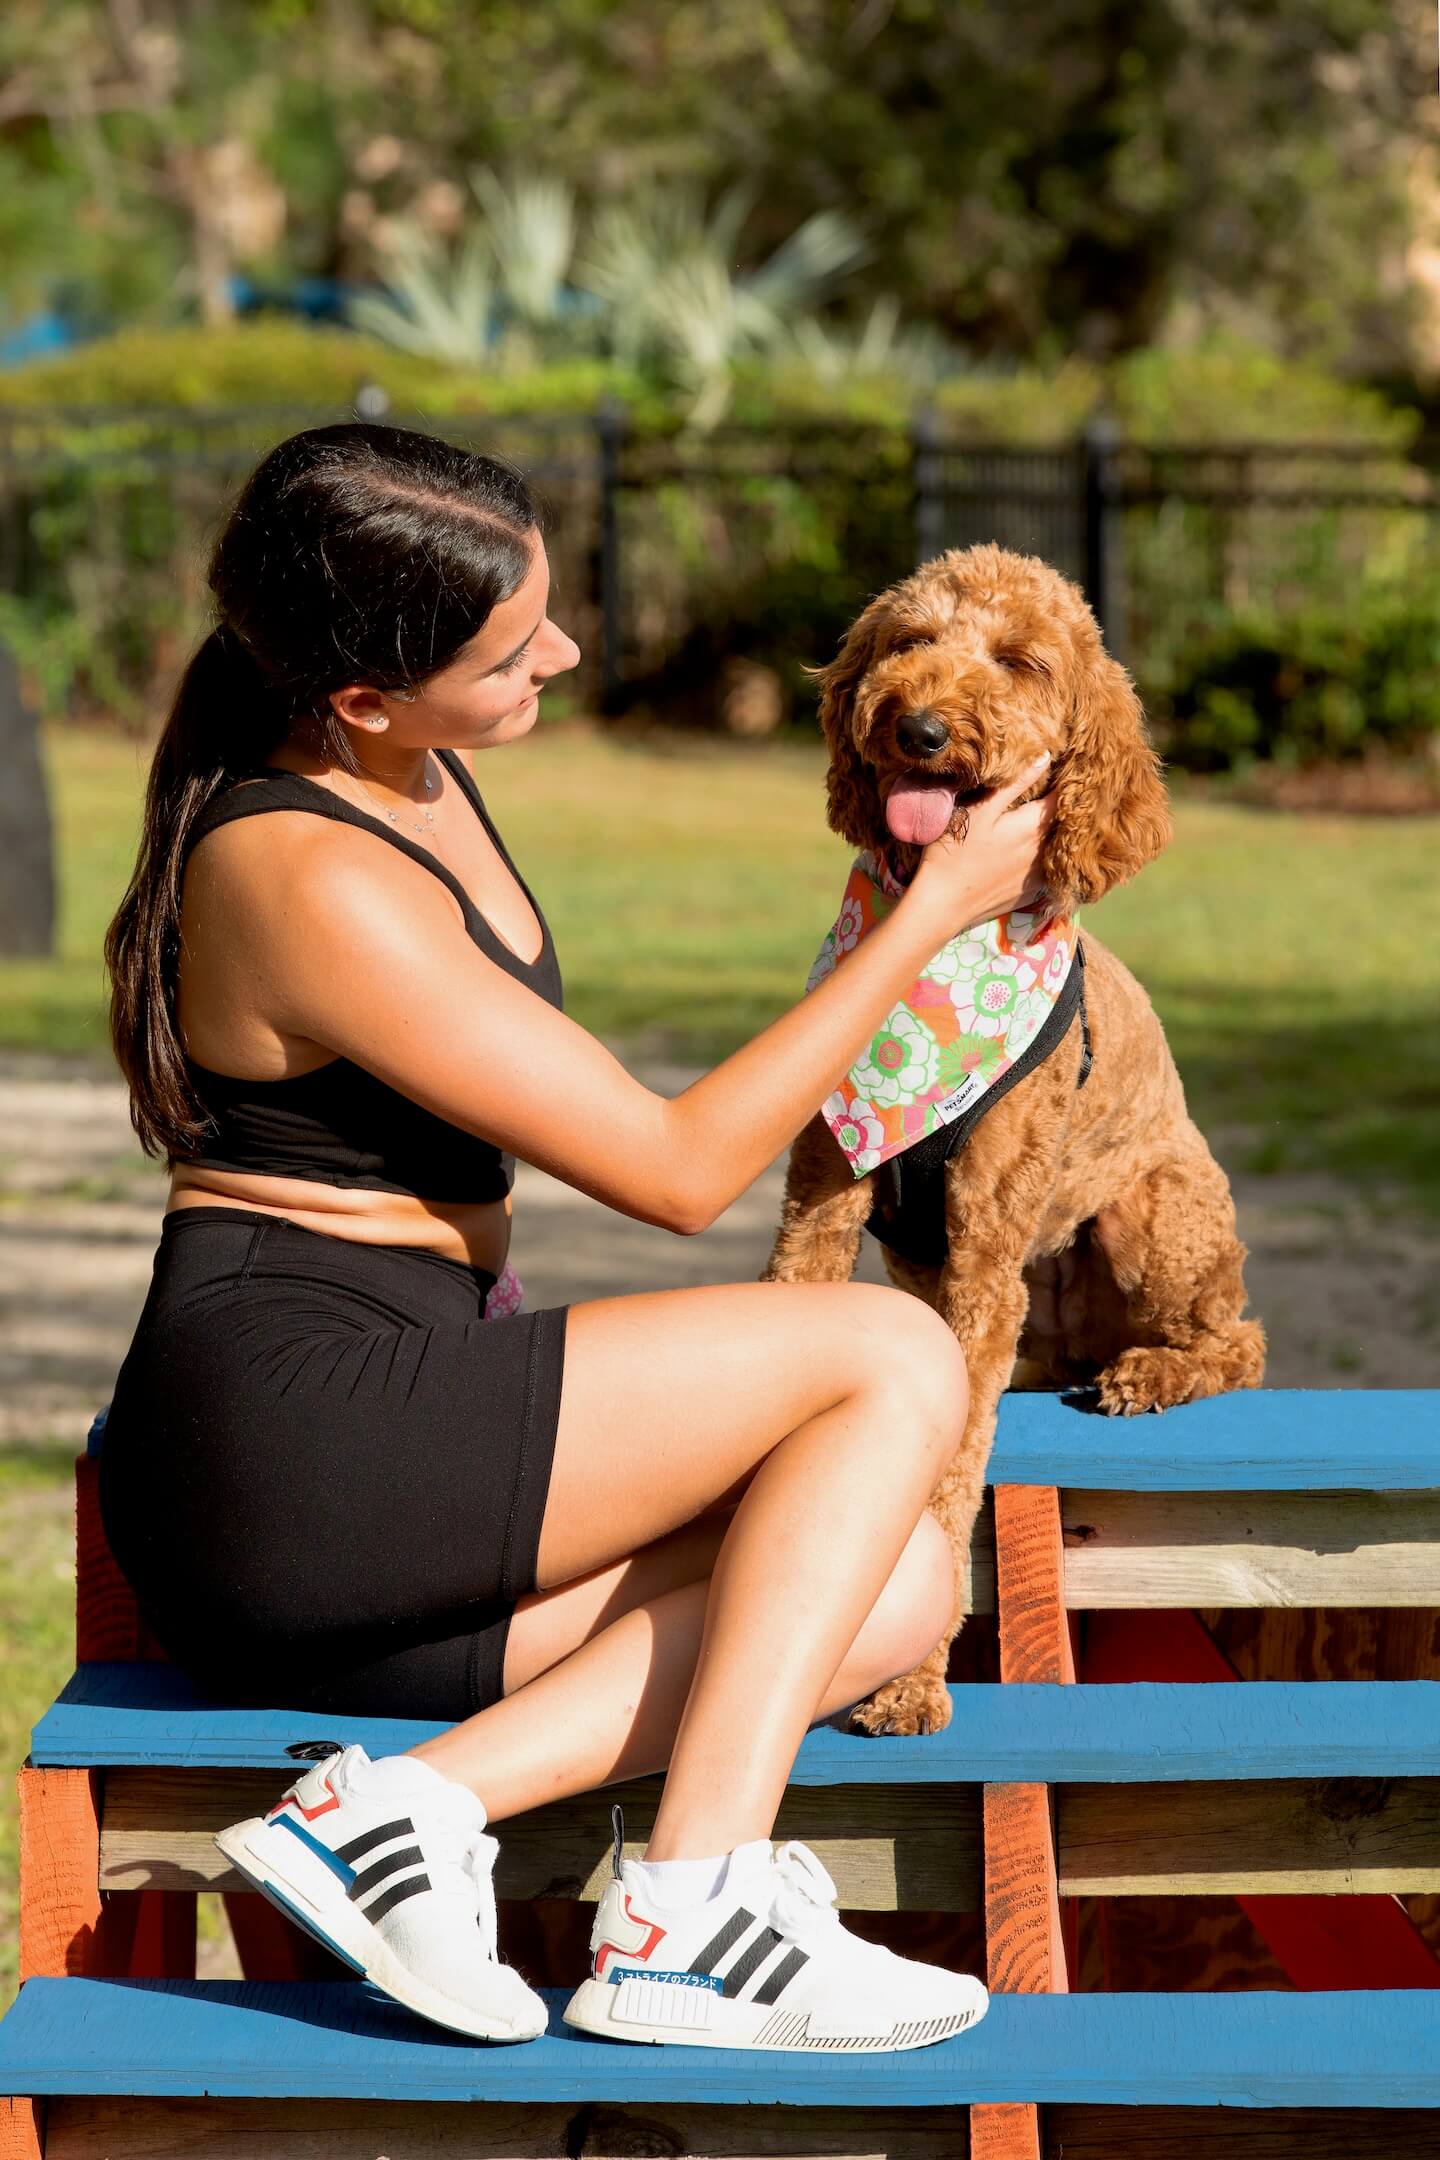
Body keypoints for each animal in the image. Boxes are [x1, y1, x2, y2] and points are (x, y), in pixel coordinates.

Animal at [759, 544, 1269, 1736]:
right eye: (908, 642)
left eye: (1022, 662)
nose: (920, 727)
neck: (924, 951)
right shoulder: (821, 1205)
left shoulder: (986, 1257)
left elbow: (947, 1478)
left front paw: (908, 1677)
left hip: (1150, 1223)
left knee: (1242, 1340)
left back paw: (1147, 1375)